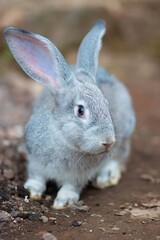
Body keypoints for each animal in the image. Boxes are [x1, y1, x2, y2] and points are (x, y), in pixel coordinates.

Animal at [4, 20, 136, 208]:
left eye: (107, 105)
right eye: (80, 111)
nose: (108, 141)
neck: (62, 138)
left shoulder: (79, 176)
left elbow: (72, 186)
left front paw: (63, 201)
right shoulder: (35, 163)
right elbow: (37, 178)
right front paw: (31, 190)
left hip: (125, 136)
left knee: (120, 157)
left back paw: (106, 177)